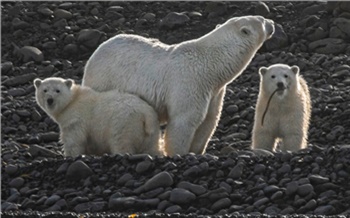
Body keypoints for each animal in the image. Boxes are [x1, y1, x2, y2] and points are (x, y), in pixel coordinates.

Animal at [34, 77, 163, 157]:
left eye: (57, 90)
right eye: (44, 90)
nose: (50, 100)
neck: (73, 101)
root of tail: (146, 114)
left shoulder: (76, 118)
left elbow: (74, 139)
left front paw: (69, 154)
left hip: (124, 123)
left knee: (121, 142)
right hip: (151, 130)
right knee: (151, 147)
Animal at [83, 15, 274, 156]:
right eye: (261, 20)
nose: (272, 23)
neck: (211, 66)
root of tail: (96, 52)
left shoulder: (214, 92)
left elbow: (209, 122)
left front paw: (197, 152)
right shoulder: (191, 83)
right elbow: (185, 121)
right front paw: (178, 153)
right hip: (104, 79)